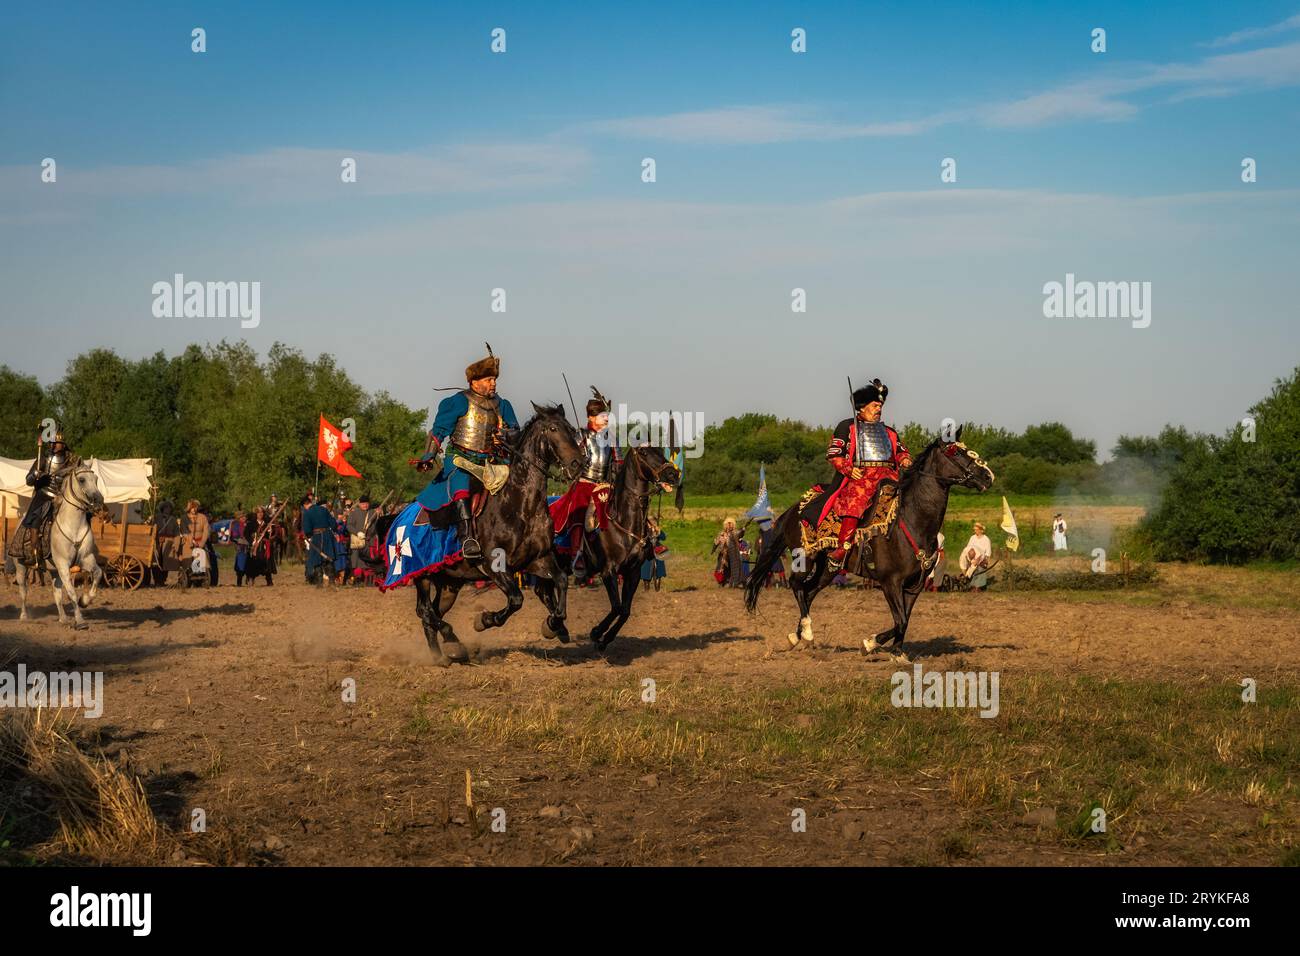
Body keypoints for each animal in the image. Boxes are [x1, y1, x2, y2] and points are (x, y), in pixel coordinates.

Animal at [16, 463, 105, 629]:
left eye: (95, 478)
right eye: (82, 479)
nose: (98, 499)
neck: (73, 526)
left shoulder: (86, 559)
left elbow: (97, 574)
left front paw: (85, 601)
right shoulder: (64, 565)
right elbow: (72, 593)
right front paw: (80, 621)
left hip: (54, 571)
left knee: (56, 592)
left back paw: (63, 618)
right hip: (21, 567)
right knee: (23, 591)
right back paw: (24, 616)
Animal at [369, 403, 587, 665]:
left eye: (571, 429)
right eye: (553, 429)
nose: (578, 463)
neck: (519, 505)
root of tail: (398, 516)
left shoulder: (539, 560)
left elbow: (561, 581)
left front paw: (553, 625)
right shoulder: (494, 566)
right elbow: (516, 600)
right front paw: (484, 621)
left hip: (449, 583)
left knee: (432, 612)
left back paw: (442, 653)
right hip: (420, 575)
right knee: (424, 610)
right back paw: (451, 644)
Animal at [579, 447, 681, 655]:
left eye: (660, 450)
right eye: (643, 453)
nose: (673, 474)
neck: (624, 523)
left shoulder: (632, 573)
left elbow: (625, 610)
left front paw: (604, 640)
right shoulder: (608, 571)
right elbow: (617, 607)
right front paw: (596, 633)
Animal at [748, 429, 987, 660]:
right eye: (955, 451)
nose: (988, 476)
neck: (912, 521)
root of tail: (793, 510)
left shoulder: (914, 586)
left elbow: (904, 621)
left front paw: (897, 653)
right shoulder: (890, 582)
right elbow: (900, 620)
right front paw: (869, 644)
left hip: (828, 569)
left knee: (809, 592)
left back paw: (796, 637)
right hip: (805, 558)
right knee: (795, 584)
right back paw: (806, 632)